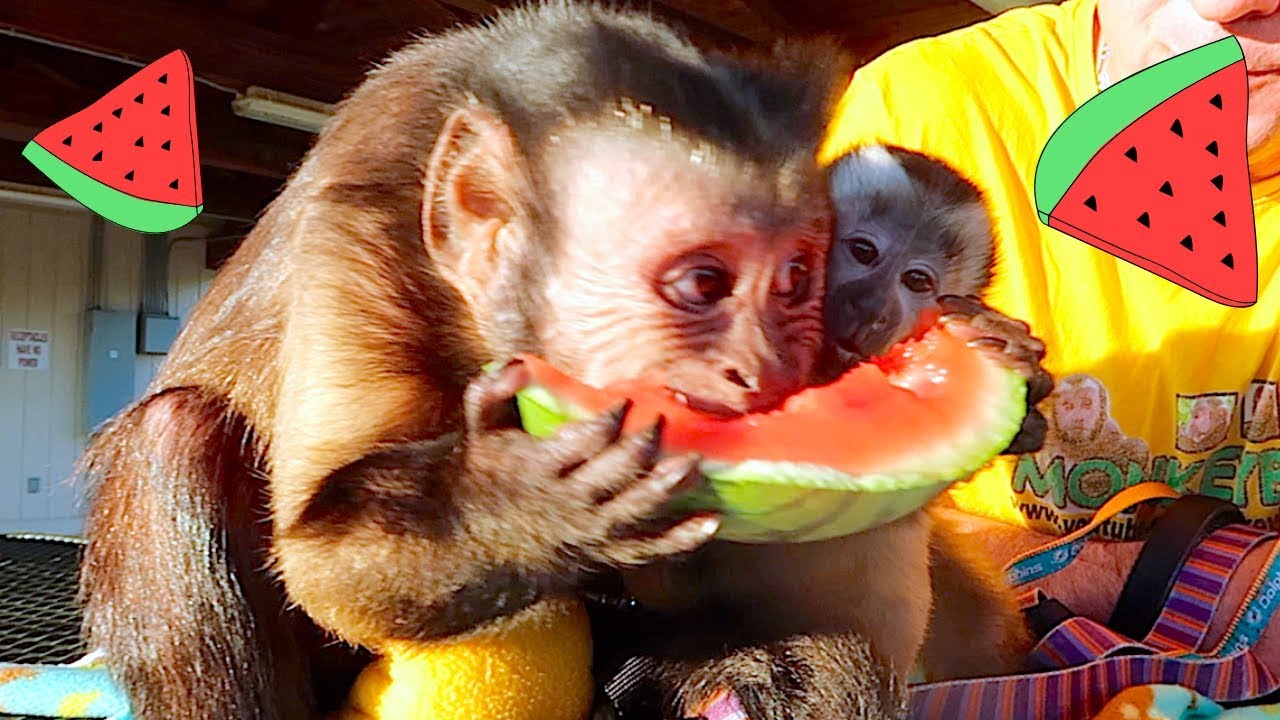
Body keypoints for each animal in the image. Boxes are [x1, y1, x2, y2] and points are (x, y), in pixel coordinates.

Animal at [73, 5, 913, 720]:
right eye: (703, 284)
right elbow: (321, 562)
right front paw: (522, 502)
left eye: (796, 280)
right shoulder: (362, 236)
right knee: (174, 433)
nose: (761, 369)